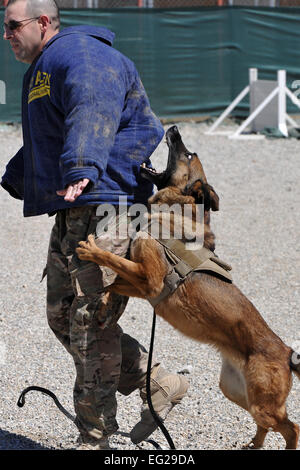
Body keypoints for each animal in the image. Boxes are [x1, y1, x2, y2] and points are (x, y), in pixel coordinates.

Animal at [77, 125, 300, 448]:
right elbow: (115, 283)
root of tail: (286, 353)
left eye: (188, 154)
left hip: (262, 403)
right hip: (236, 390)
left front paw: (91, 250)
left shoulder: (150, 281)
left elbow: (113, 264)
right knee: (267, 425)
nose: (172, 128)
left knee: (291, 427)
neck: (174, 212)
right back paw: (254, 444)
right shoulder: (144, 285)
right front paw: (104, 308)